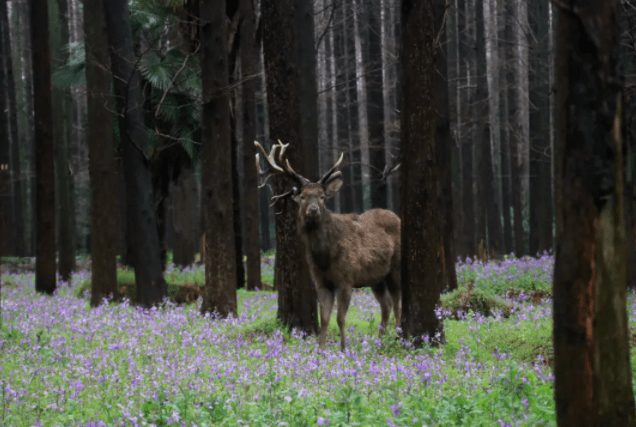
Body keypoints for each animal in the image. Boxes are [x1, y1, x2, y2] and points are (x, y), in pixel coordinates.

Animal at [255, 140, 400, 352]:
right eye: (303, 196)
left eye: (322, 196)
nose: (314, 209)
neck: (324, 255)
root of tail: (397, 217)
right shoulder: (321, 281)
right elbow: (324, 318)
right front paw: (321, 350)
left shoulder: (347, 278)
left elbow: (340, 318)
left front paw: (343, 348)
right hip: (376, 279)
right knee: (386, 306)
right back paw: (381, 341)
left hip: (395, 269)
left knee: (397, 303)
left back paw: (398, 337)